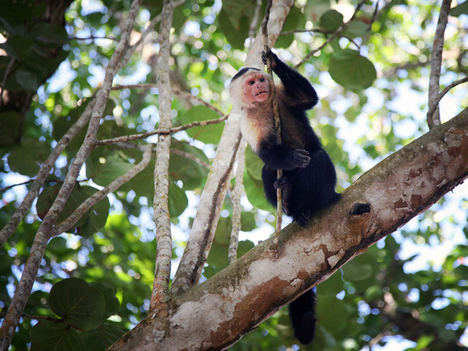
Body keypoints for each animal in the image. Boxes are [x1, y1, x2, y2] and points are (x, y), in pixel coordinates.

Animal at [229, 50, 338, 346]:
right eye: (250, 84)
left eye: (259, 80)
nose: (259, 86)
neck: (263, 106)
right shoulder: (247, 120)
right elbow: (266, 151)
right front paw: (289, 159)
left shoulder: (278, 94)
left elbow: (308, 98)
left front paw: (274, 59)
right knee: (269, 170)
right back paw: (287, 197)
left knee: (318, 158)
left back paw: (308, 206)